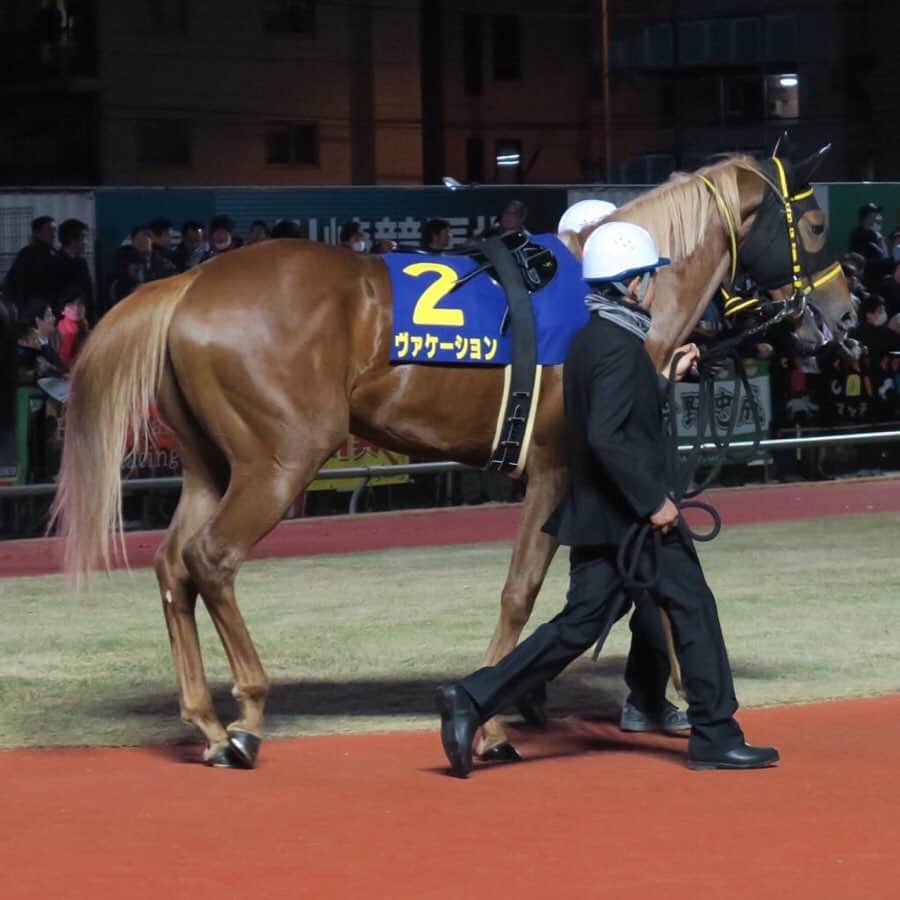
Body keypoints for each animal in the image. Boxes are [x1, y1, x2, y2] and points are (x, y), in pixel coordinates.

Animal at [52, 146, 854, 768]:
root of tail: (190, 283)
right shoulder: (557, 468)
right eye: (815, 224)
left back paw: (207, 722)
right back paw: (246, 716)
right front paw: (494, 719)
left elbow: (632, 585)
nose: (844, 313)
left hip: (209, 468)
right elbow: (524, 590)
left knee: (172, 567)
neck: (611, 298)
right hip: (280, 462)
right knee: (211, 560)